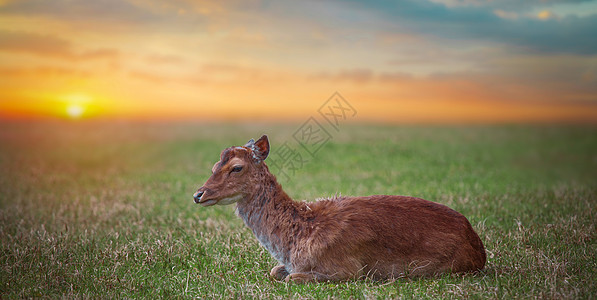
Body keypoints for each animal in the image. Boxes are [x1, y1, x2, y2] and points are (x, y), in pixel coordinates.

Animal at [193, 136, 486, 284]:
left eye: (236, 167)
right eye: (213, 166)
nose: (198, 194)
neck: (296, 240)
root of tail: (479, 247)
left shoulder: (347, 269)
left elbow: (292, 278)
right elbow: (275, 271)